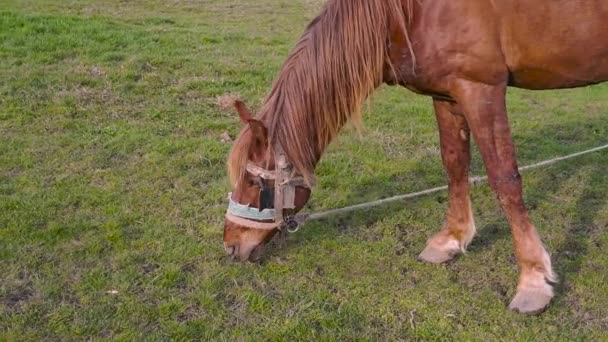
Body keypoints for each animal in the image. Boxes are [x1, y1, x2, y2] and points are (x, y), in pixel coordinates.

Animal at [222, 0, 608, 316]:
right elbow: (454, 164)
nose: (231, 245)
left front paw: (533, 280)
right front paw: (451, 240)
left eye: (254, 180)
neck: (412, 11)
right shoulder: (448, 94)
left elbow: (505, 179)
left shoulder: (481, 90)